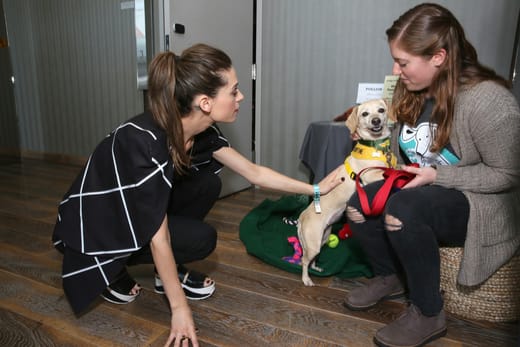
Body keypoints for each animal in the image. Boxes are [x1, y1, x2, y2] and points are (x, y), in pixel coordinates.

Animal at [294, 98, 396, 286]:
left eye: (381, 110)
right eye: (365, 114)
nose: (376, 121)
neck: (376, 147)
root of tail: (302, 217)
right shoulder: (371, 175)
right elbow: (388, 173)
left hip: (323, 238)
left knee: (312, 259)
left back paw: (315, 268)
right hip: (313, 244)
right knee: (304, 261)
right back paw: (306, 279)